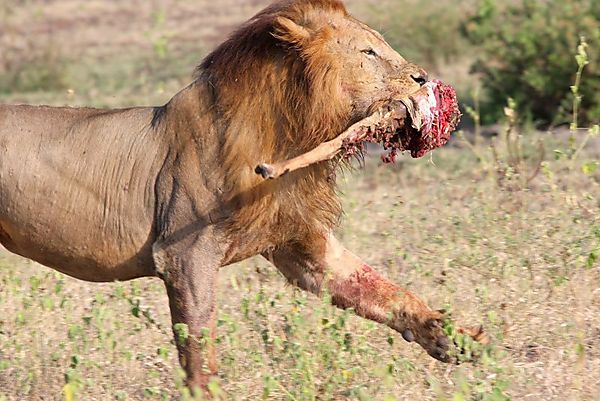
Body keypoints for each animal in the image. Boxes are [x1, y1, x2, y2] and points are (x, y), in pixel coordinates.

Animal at [0, 0, 486, 394]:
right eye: (368, 52)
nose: (423, 78)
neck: (291, 134)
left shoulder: (301, 245)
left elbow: (377, 289)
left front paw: (448, 334)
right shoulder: (184, 254)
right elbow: (199, 350)